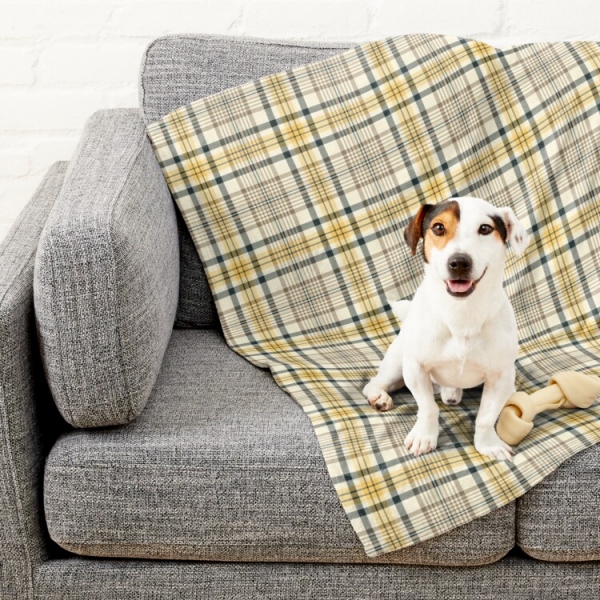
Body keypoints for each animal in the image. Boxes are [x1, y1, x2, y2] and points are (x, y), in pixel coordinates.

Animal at [364, 199, 528, 462]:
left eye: (485, 228)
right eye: (438, 228)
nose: (459, 262)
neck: (461, 315)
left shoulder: (501, 376)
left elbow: (486, 417)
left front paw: (488, 444)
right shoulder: (416, 368)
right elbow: (427, 408)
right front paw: (424, 437)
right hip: (397, 364)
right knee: (374, 382)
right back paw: (378, 397)